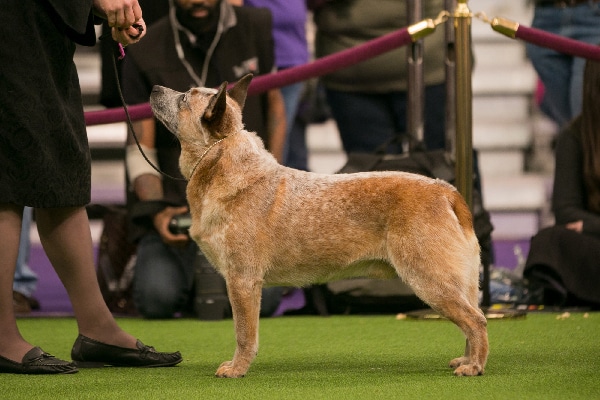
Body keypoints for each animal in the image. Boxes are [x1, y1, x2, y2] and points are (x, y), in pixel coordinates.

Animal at [149, 75, 488, 378]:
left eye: (184, 97)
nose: (153, 88)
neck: (222, 162)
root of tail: (446, 190)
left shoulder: (242, 281)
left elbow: (244, 334)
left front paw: (237, 369)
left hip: (430, 280)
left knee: (477, 320)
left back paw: (474, 366)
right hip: (459, 282)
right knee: (472, 318)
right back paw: (466, 359)